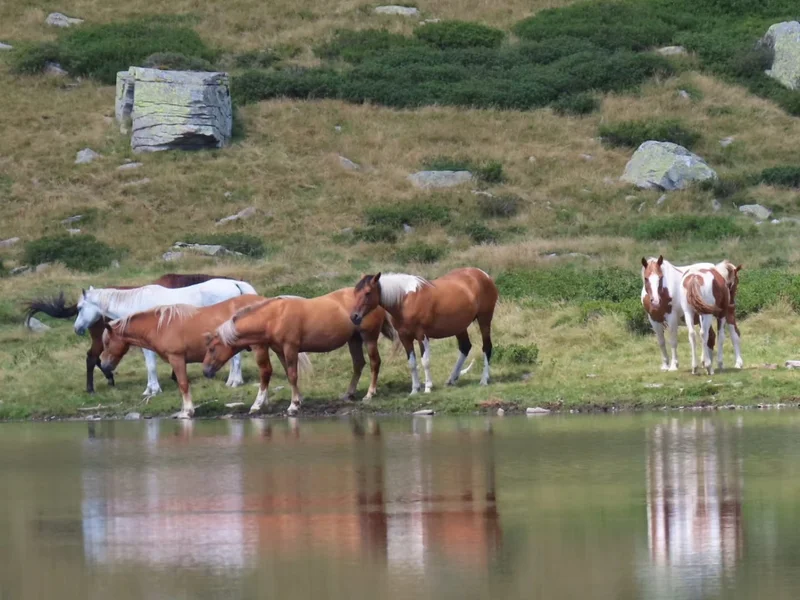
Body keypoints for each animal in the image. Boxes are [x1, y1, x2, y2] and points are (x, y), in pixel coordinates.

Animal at [73, 278, 256, 398]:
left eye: (80, 307)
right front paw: (150, 389)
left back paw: (234, 382)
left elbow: (151, 366)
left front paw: (153, 390)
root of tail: (234, 284)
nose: (77, 328)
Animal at [99, 294, 268, 418]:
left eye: (106, 342)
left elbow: (183, 384)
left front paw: (188, 411)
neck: (160, 326)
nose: (104, 364)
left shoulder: (177, 358)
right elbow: (182, 386)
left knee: (264, 373)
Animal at [203, 288, 396, 414]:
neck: (274, 317)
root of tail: (376, 301)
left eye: (212, 348)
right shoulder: (280, 350)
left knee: (374, 362)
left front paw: (293, 404)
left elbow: (292, 374)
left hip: (369, 338)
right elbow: (289, 375)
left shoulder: (290, 348)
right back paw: (349, 394)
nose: (206, 371)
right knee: (358, 364)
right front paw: (298, 399)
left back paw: (370, 393)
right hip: (354, 340)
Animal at [352, 270, 500, 396]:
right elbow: (412, 363)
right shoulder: (405, 337)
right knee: (465, 347)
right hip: (460, 327)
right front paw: (414, 389)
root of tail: (484, 275)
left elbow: (425, 361)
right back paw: (451, 379)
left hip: (484, 319)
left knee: (486, 347)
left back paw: (484, 380)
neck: (405, 300)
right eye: (355, 292)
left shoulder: (421, 335)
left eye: (368, 292)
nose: (354, 316)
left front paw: (428, 387)